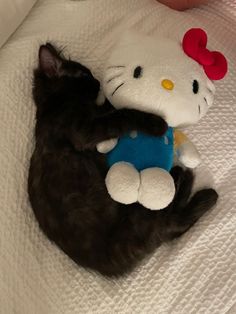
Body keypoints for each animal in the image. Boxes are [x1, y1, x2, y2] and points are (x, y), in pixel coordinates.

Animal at [27, 43, 218, 276]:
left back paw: (181, 176)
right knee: (174, 221)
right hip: (141, 218)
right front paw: (154, 122)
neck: (51, 105)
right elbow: (123, 114)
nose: (97, 81)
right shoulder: (83, 130)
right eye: (84, 74)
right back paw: (189, 181)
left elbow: (111, 110)